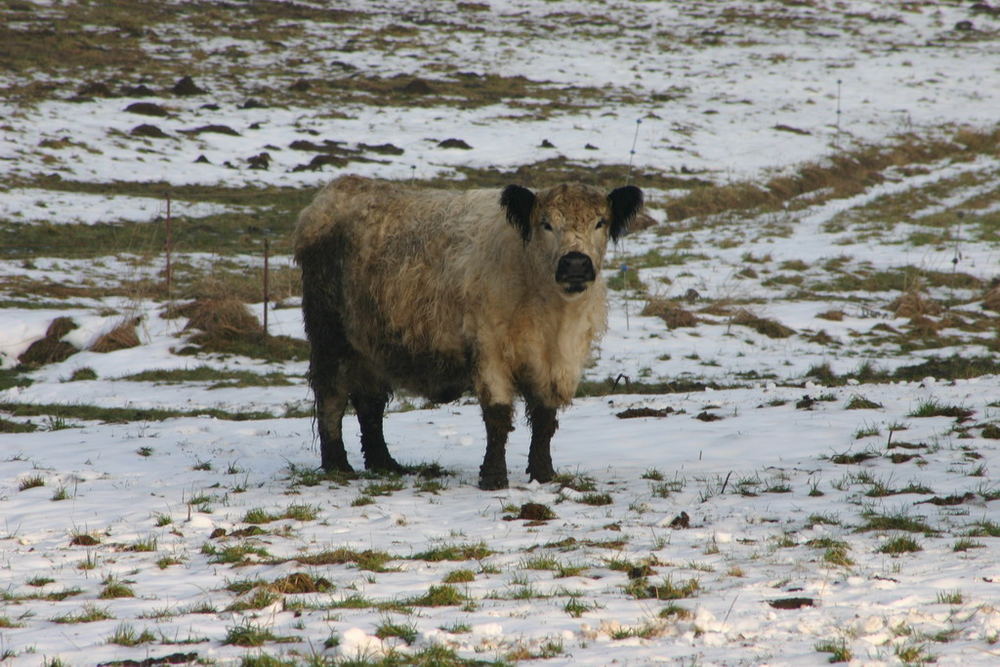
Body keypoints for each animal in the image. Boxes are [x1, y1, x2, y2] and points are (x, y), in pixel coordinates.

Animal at [292, 175, 644, 490]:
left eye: (600, 222)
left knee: (370, 402)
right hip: (330, 336)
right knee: (331, 395)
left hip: (372, 343)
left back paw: (385, 464)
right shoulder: (490, 351)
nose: (575, 263)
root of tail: (341, 187)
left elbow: (545, 418)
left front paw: (543, 474)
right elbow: (498, 416)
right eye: (545, 224)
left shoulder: (556, 362)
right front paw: (494, 478)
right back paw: (338, 466)